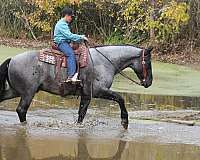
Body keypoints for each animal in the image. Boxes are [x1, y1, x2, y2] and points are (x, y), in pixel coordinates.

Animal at [0, 44, 153, 129]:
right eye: (148, 62)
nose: (149, 82)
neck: (105, 62)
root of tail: (12, 59)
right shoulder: (98, 91)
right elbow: (120, 98)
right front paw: (124, 121)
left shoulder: (86, 95)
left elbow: (81, 113)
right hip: (28, 93)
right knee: (21, 110)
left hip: (15, 91)